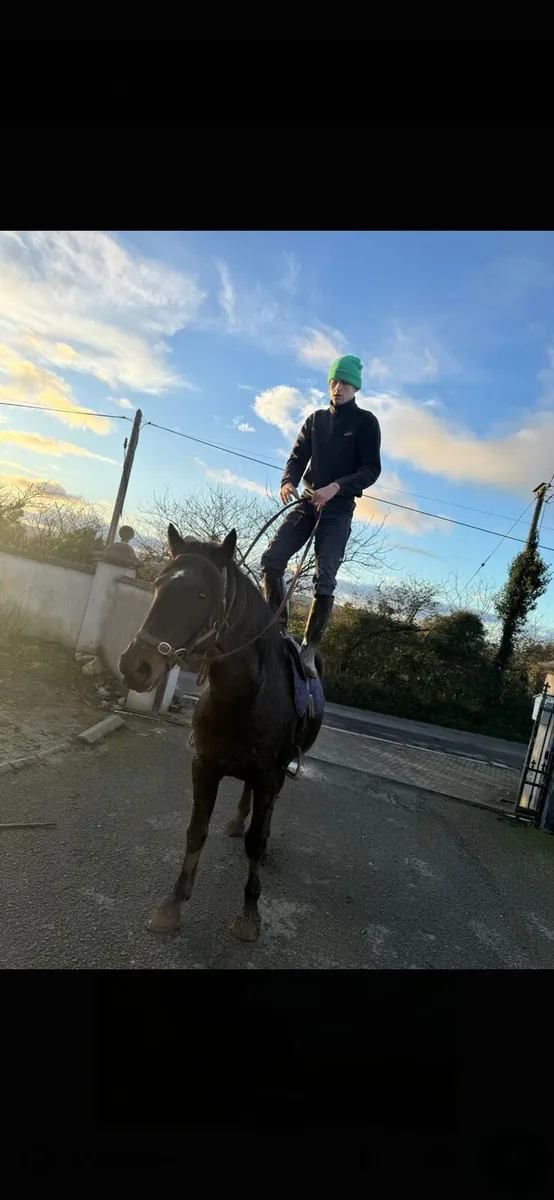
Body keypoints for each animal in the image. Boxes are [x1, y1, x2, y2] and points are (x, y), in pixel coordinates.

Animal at [119, 522, 325, 943]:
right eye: (158, 585)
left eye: (203, 594)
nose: (136, 666)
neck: (246, 694)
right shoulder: (205, 765)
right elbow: (196, 831)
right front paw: (172, 904)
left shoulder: (269, 776)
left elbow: (255, 842)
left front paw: (250, 912)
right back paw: (236, 820)